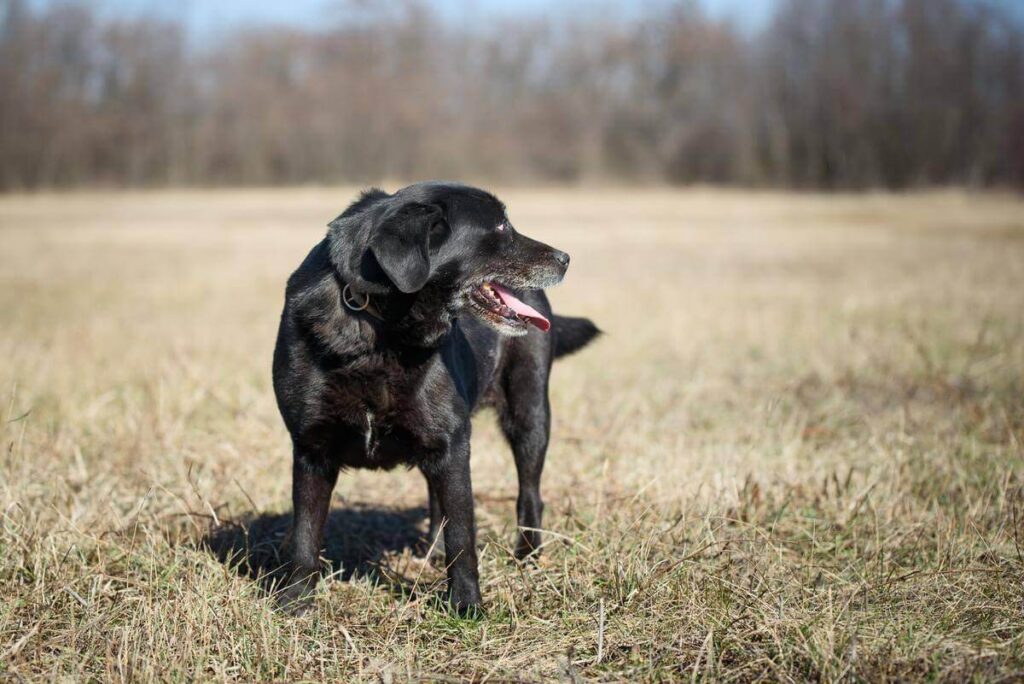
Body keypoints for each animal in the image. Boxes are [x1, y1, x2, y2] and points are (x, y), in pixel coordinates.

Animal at [272, 180, 598, 610]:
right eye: (500, 227)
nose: (566, 258)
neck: (381, 328)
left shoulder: (452, 444)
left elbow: (463, 535)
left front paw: (466, 606)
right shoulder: (312, 448)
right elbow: (306, 534)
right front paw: (295, 603)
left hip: (529, 416)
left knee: (529, 493)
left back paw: (527, 556)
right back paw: (433, 551)